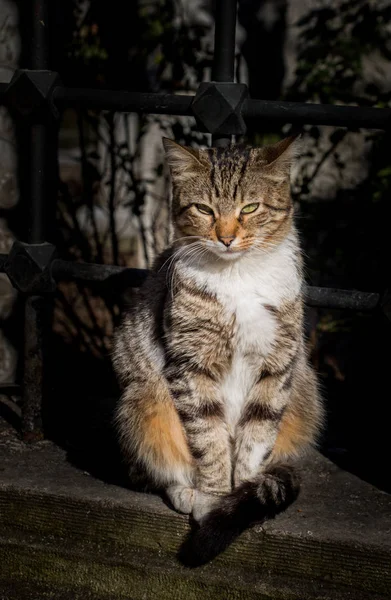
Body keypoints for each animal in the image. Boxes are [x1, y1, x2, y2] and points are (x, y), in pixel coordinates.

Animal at [112, 136, 324, 564]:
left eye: (250, 208)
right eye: (205, 209)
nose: (226, 237)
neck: (238, 275)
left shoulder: (278, 363)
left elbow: (257, 436)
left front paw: (242, 494)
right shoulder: (191, 364)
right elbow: (208, 437)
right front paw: (214, 498)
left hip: (305, 388)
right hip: (142, 396)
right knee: (154, 466)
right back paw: (185, 492)